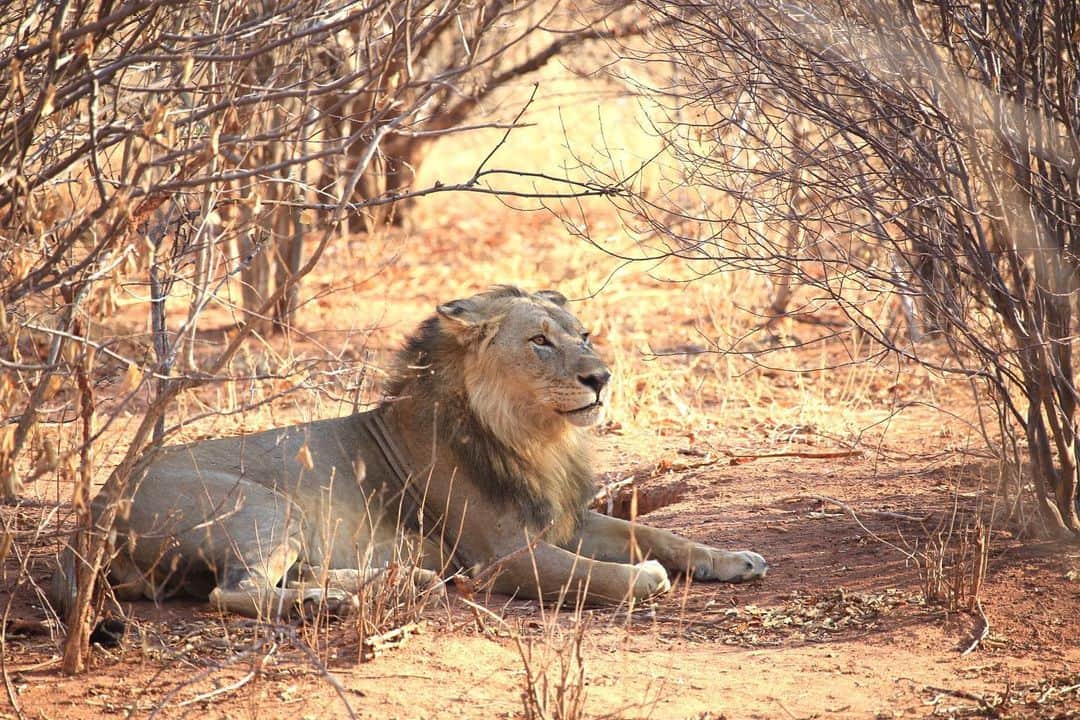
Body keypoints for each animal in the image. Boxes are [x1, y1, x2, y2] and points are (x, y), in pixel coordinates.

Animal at [50, 286, 767, 619]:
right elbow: (597, 574)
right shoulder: (503, 556)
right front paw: (646, 579)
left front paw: (734, 559)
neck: (534, 436)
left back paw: (396, 582)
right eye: (539, 341)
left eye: (583, 335)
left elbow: (657, 532)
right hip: (263, 504)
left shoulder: (560, 519)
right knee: (236, 593)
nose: (601, 377)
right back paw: (335, 605)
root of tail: (91, 514)